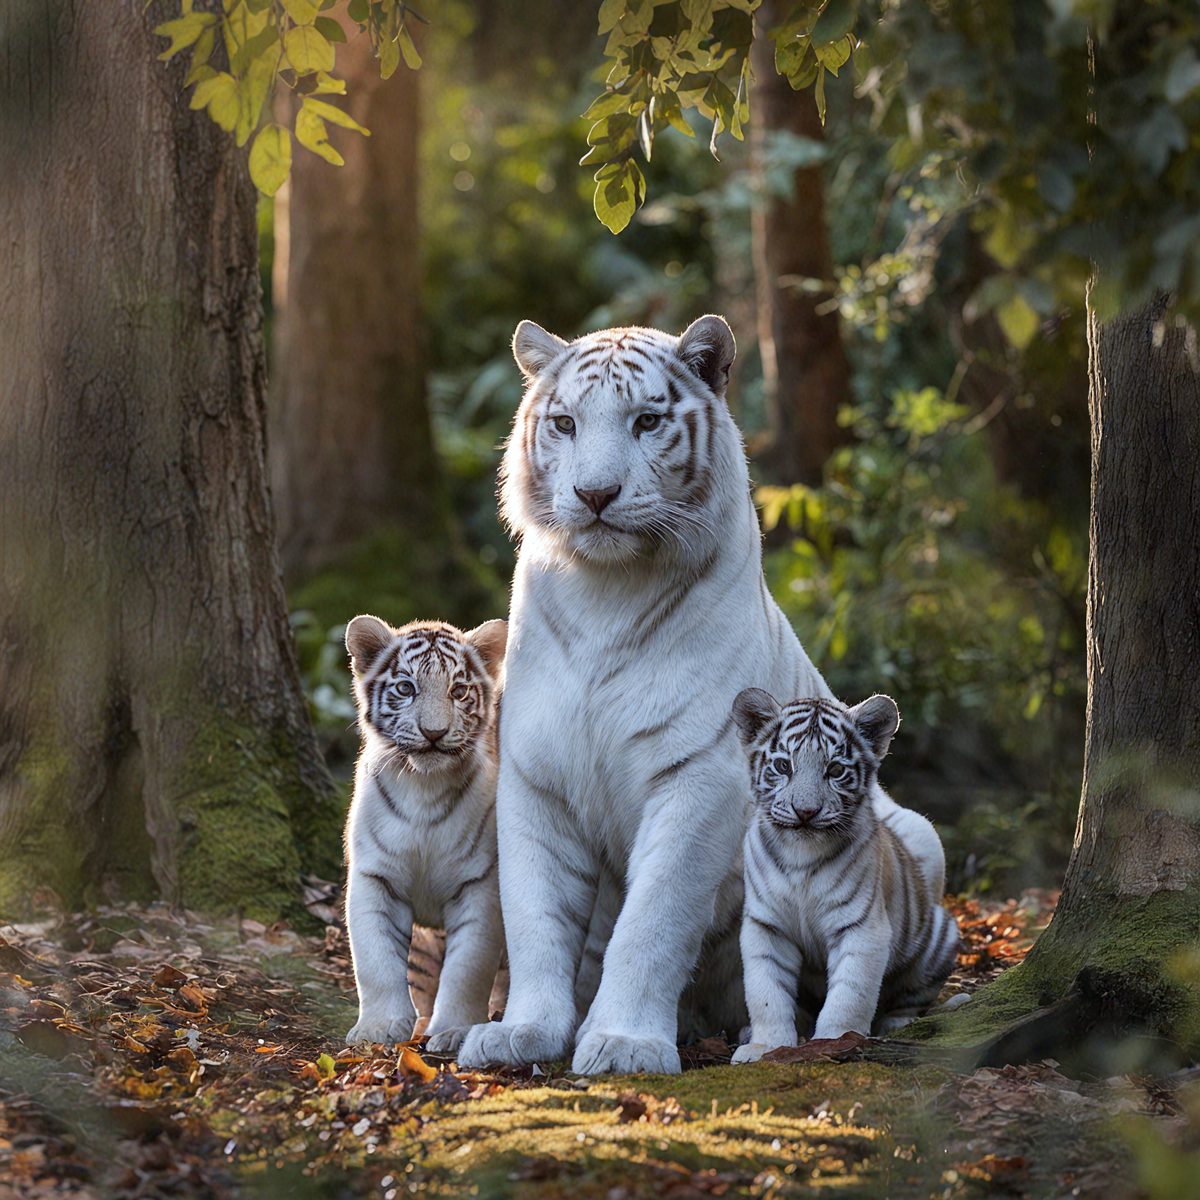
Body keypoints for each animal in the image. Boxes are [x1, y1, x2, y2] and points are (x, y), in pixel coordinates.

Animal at [342, 614, 508, 1054]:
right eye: (406, 688)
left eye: (458, 690)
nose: (433, 733)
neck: (424, 787)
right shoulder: (375, 877)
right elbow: (375, 960)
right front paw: (378, 1028)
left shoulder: (479, 884)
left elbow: (468, 967)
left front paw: (453, 1031)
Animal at [729, 688, 959, 1062]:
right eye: (783, 766)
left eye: (835, 770)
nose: (805, 812)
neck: (800, 856)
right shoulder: (767, 926)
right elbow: (766, 991)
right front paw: (766, 1045)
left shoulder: (862, 927)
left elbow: (851, 992)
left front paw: (835, 1040)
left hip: (940, 935)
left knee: (910, 998)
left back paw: (898, 1024)